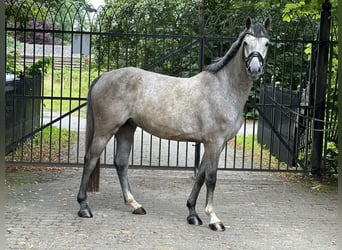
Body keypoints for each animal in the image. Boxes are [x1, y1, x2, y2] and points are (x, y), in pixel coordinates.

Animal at [77, 17, 270, 231]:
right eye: (246, 43)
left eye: (267, 44)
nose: (255, 69)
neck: (223, 89)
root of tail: (103, 77)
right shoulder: (215, 143)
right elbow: (211, 178)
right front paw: (213, 219)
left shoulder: (211, 144)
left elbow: (200, 176)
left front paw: (192, 214)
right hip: (105, 130)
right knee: (90, 159)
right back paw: (84, 207)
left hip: (126, 129)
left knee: (121, 163)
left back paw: (135, 205)